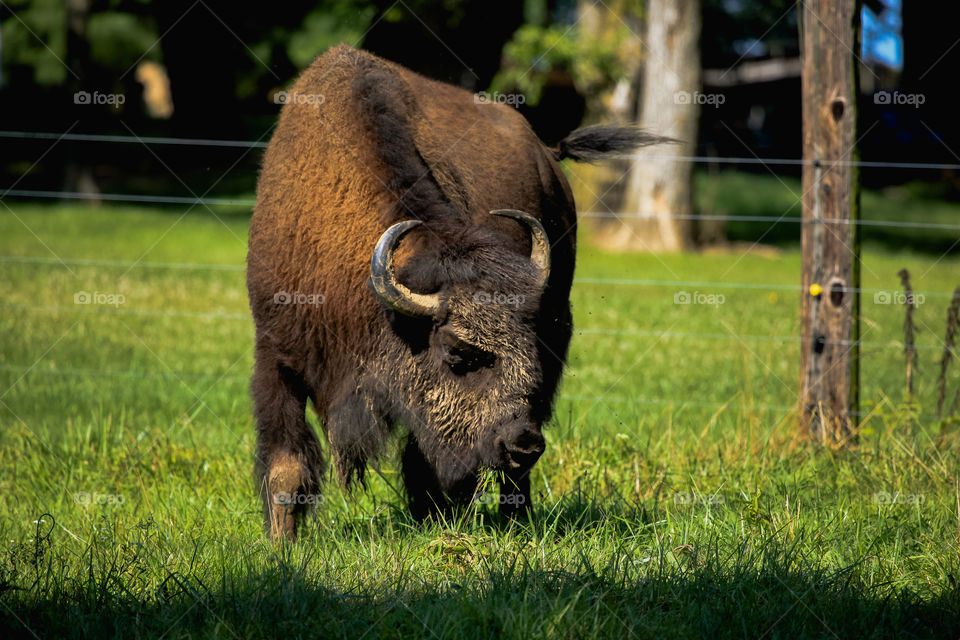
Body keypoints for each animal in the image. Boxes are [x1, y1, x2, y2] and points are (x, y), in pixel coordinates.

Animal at [247, 44, 661, 539]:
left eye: (530, 351)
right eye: (458, 353)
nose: (523, 444)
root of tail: (547, 155)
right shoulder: (276, 358)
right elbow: (287, 469)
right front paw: (281, 545)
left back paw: (514, 520)